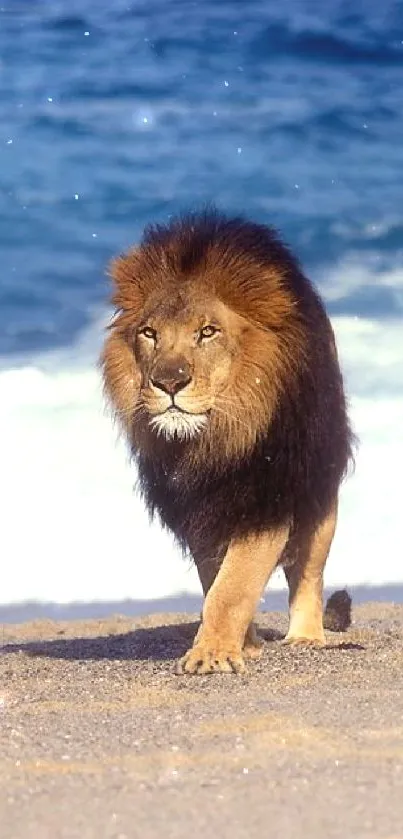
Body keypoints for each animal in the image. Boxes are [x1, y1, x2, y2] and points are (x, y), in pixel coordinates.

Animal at [102, 210, 356, 676]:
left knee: (309, 573)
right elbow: (215, 582)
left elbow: (235, 585)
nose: (169, 382)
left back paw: (306, 637)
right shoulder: (198, 508)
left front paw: (213, 654)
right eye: (149, 333)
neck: (211, 442)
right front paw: (242, 644)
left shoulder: (265, 499)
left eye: (208, 332)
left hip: (318, 494)